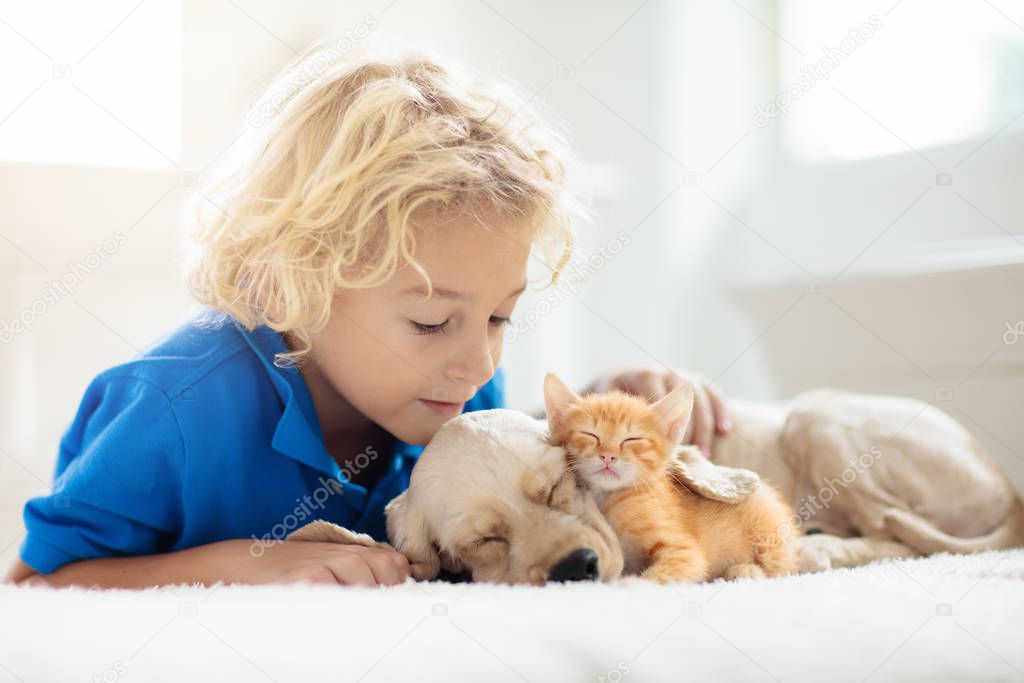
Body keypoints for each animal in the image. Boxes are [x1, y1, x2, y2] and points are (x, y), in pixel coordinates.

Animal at [544, 370, 798, 585]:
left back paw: (746, 570)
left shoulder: (683, 553)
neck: (606, 497)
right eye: (590, 434)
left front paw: (629, 584)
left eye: (632, 439)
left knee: (782, 569)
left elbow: (656, 577)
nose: (607, 456)